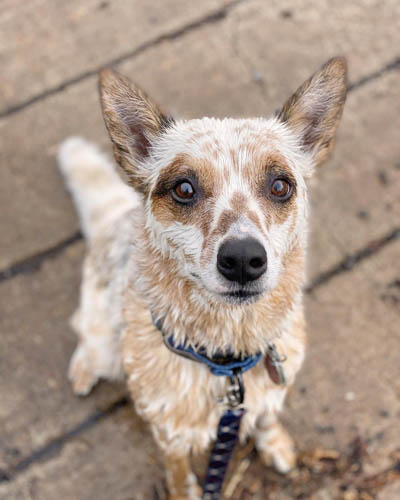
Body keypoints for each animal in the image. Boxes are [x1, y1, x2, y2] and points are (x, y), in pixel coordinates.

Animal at [58, 59, 346, 500]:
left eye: (281, 185)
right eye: (184, 188)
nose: (243, 259)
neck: (228, 360)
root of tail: (116, 214)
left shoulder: (270, 390)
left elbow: (266, 417)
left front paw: (275, 444)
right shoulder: (168, 431)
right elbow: (178, 472)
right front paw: (186, 492)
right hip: (102, 334)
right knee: (86, 337)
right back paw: (83, 370)